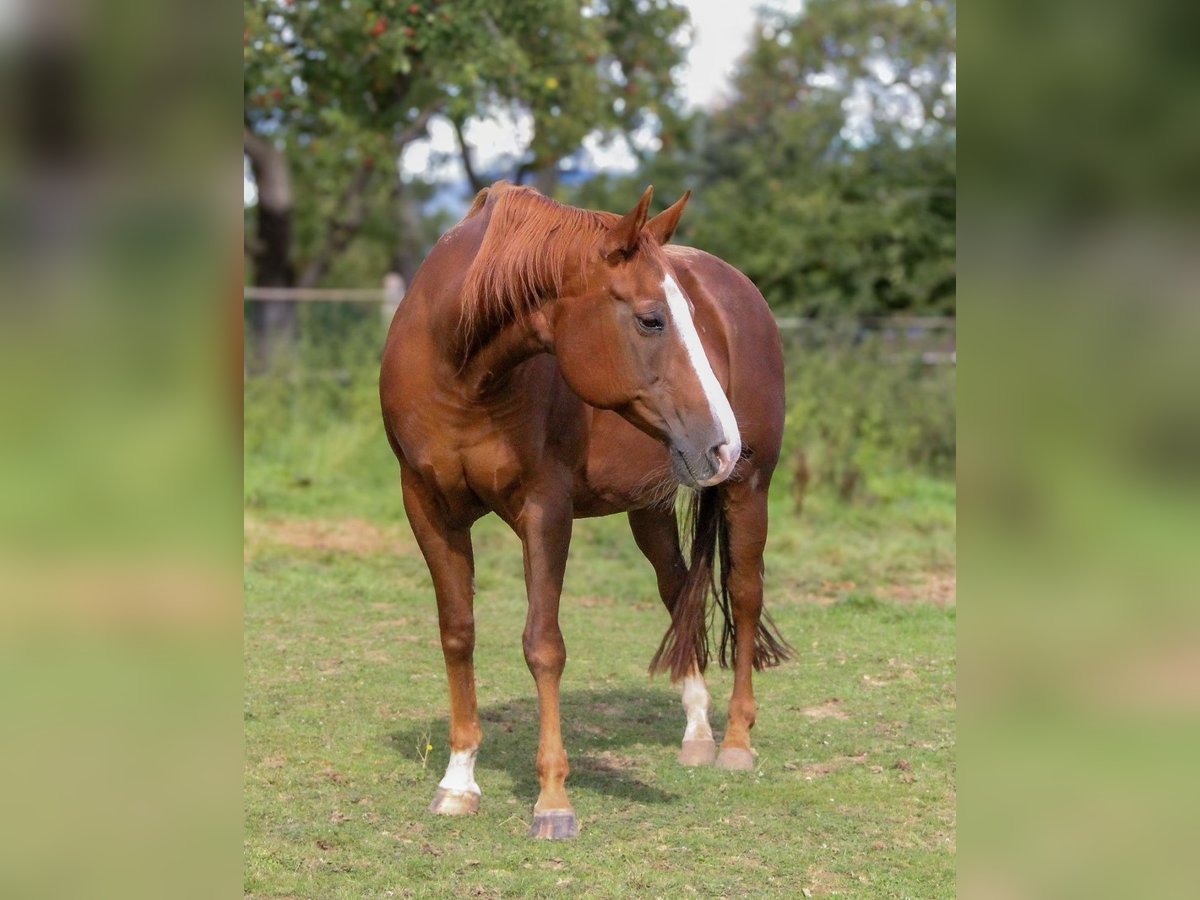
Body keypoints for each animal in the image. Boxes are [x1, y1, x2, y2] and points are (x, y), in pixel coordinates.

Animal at [381, 181, 787, 840]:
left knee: (745, 595)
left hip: (749, 489)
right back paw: (698, 733)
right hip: (651, 506)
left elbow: (543, 645)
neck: (461, 369)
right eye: (651, 318)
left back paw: (735, 742)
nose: (723, 443)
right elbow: (457, 634)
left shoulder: (545, 509)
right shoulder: (427, 507)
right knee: (680, 591)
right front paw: (459, 781)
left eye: (689, 318)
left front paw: (553, 802)